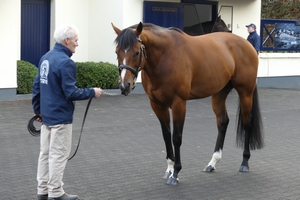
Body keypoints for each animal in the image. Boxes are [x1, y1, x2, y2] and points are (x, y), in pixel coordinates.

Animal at [111, 22, 264, 185]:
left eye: (136, 52)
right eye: (117, 52)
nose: (124, 86)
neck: (164, 57)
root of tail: (247, 44)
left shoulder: (179, 103)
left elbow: (176, 137)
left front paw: (176, 173)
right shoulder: (157, 105)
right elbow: (166, 135)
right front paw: (169, 169)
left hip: (245, 92)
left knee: (247, 123)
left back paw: (244, 162)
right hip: (219, 93)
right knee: (223, 122)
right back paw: (212, 163)